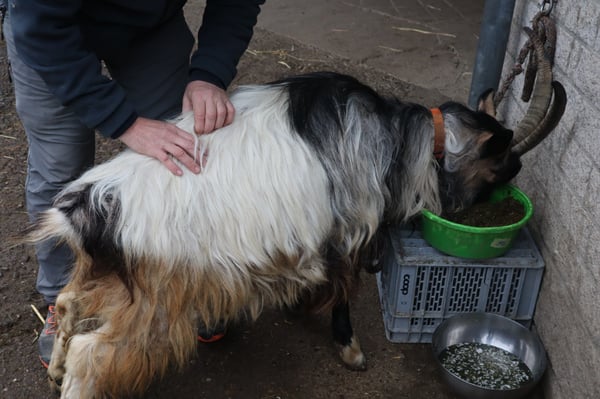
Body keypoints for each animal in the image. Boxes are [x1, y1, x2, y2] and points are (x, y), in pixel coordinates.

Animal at [24, 33, 568, 399]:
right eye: (503, 164)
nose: (488, 206)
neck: (398, 137)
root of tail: (88, 203)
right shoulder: (350, 228)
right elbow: (344, 288)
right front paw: (349, 350)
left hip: (111, 274)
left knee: (68, 305)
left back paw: (54, 369)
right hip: (158, 298)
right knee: (94, 356)